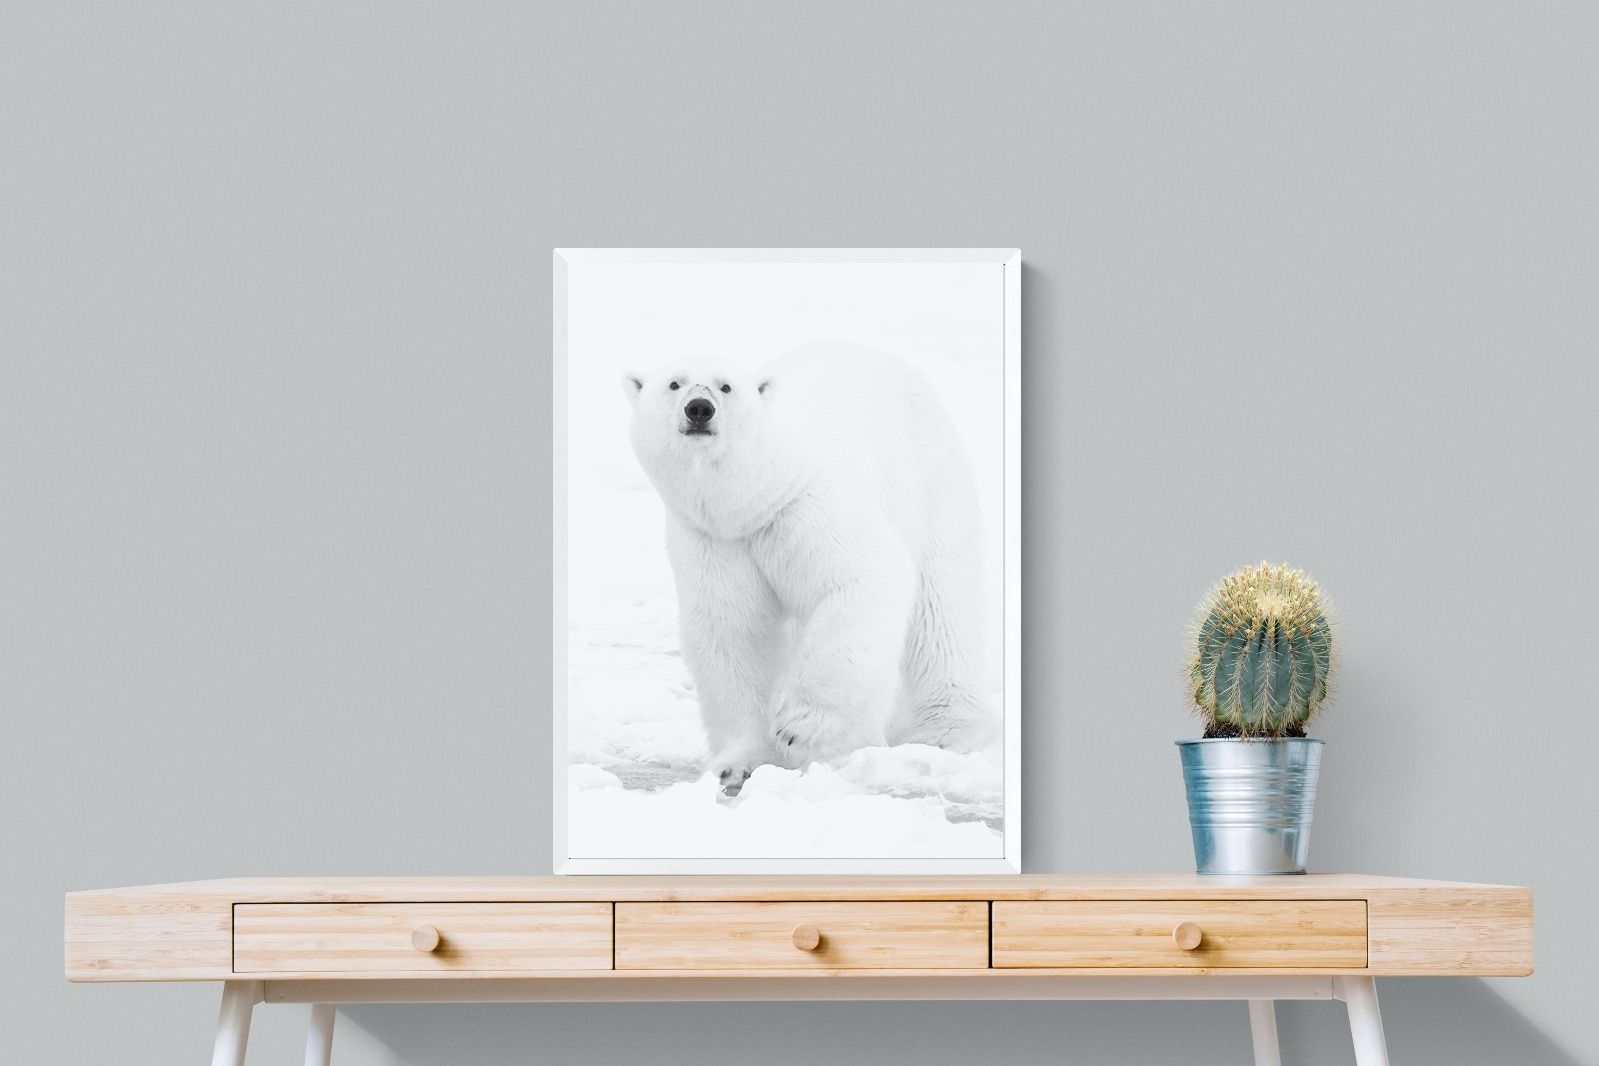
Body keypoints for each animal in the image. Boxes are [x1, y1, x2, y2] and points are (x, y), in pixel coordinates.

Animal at [622, 340, 990, 796]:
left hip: (931, 480)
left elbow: (860, 577)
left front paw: (801, 727)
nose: (699, 409)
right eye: (674, 383)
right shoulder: (714, 540)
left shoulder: (806, 505)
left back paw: (943, 731)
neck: (754, 502)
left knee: (942, 606)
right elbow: (733, 631)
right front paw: (738, 764)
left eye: (726, 386)